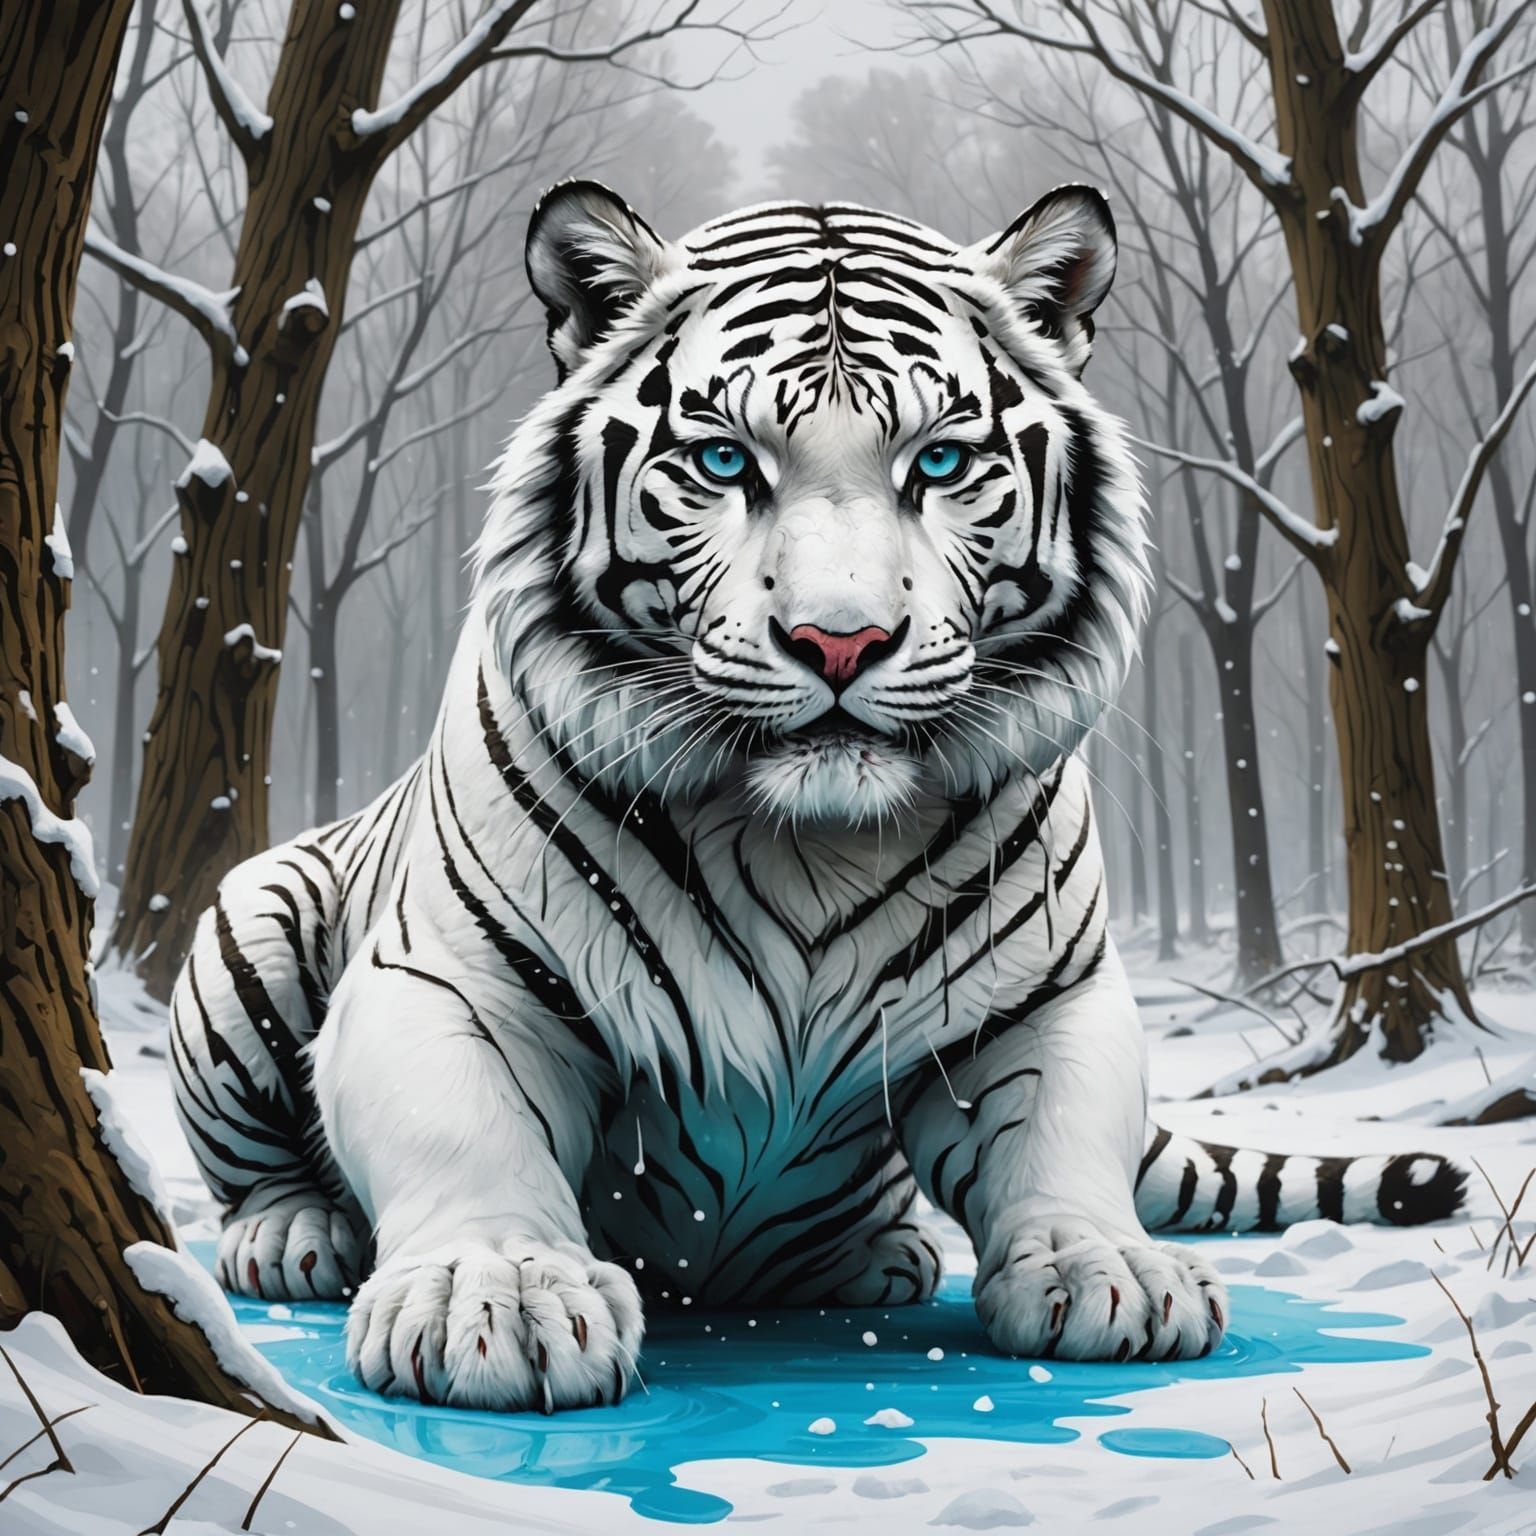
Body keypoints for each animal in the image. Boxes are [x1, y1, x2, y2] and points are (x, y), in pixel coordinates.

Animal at [168, 180, 1466, 1414]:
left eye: (939, 463)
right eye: (723, 462)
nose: (840, 641)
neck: (803, 836)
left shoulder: (1043, 995)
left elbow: (1064, 1130)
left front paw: (1107, 1268)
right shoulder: (449, 975)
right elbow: (466, 1128)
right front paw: (497, 1298)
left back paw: (879, 1260)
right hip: (255, 907)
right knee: (256, 1162)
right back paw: (293, 1238)